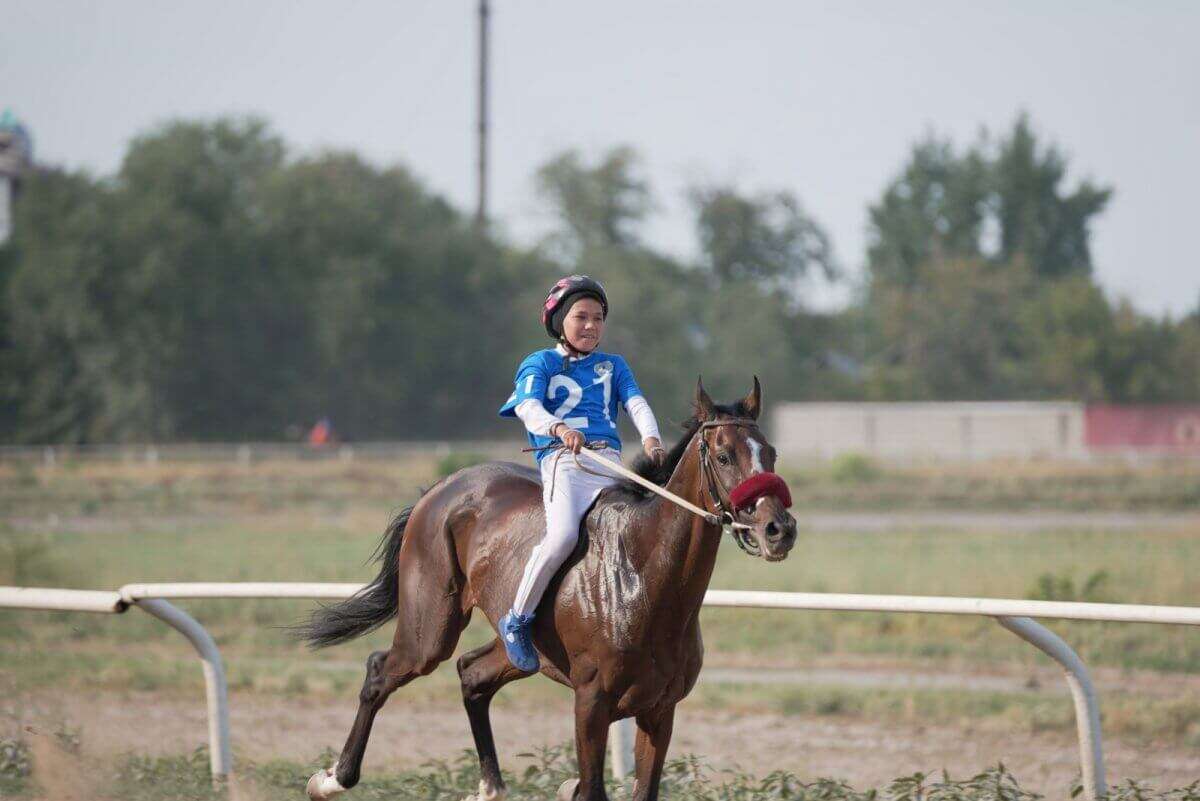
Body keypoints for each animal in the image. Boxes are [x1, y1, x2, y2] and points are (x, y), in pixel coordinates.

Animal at [300, 378, 796, 801]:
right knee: (382, 670)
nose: (779, 530)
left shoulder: (659, 710)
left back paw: (490, 787)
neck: (643, 581)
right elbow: (590, 788)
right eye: (724, 455)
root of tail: (441, 487)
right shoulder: (591, 704)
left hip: (521, 651)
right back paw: (332, 779)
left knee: (472, 674)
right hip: (429, 630)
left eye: (770, 453)